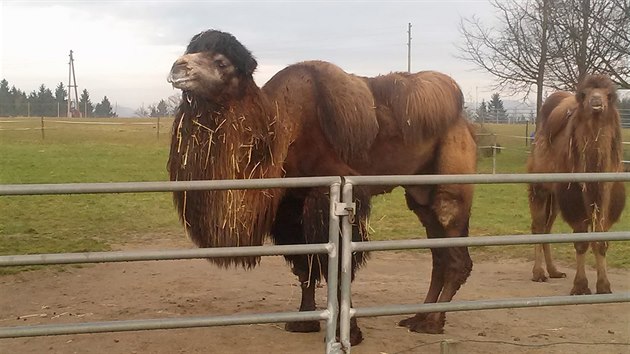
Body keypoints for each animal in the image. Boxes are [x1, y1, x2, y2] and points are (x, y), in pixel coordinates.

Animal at [168, 29, 478, 344]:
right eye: (191, 51)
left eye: (221, 62)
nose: (178, 68)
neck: (281, 130)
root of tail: (465, 123)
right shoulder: (290, 204)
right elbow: (306, 264)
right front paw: (304, 320)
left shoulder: (334, 190)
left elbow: (338, 265)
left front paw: (350, 332)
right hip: (420, 193)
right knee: (439, 254)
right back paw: (419, 317)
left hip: (452, 181)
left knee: (455, 254)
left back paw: (433, 323)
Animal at [528, 74, 628, 296]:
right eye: (584, 93)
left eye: (610, 94)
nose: (596, 101)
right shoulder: (574, 196)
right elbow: (581, 240)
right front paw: (581, 285)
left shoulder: (606, 195)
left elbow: (601, 240)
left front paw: (604, 286)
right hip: (540, 187)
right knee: (538, 226)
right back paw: (538, 273)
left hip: (556, 197)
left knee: (547, 227)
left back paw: (554, 271)